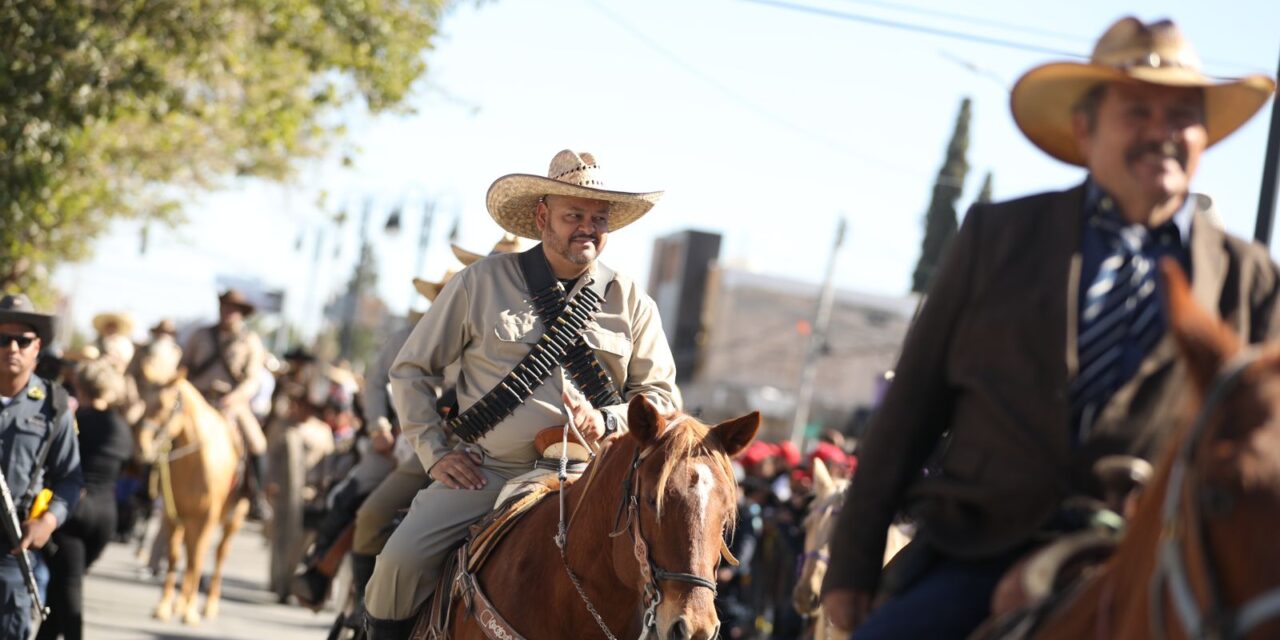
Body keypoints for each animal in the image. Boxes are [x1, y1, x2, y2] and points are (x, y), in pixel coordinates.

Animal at [130, 340, 249, 624]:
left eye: (165, 405)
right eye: (142, 401)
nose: (142, 448)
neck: (195, 463)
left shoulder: (206, 519)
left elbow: (197, 560)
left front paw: (190, 610)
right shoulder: (173, 515)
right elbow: (175, 557)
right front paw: (165, 606)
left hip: (233, 519)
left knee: (218, 555)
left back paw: (208, 605)